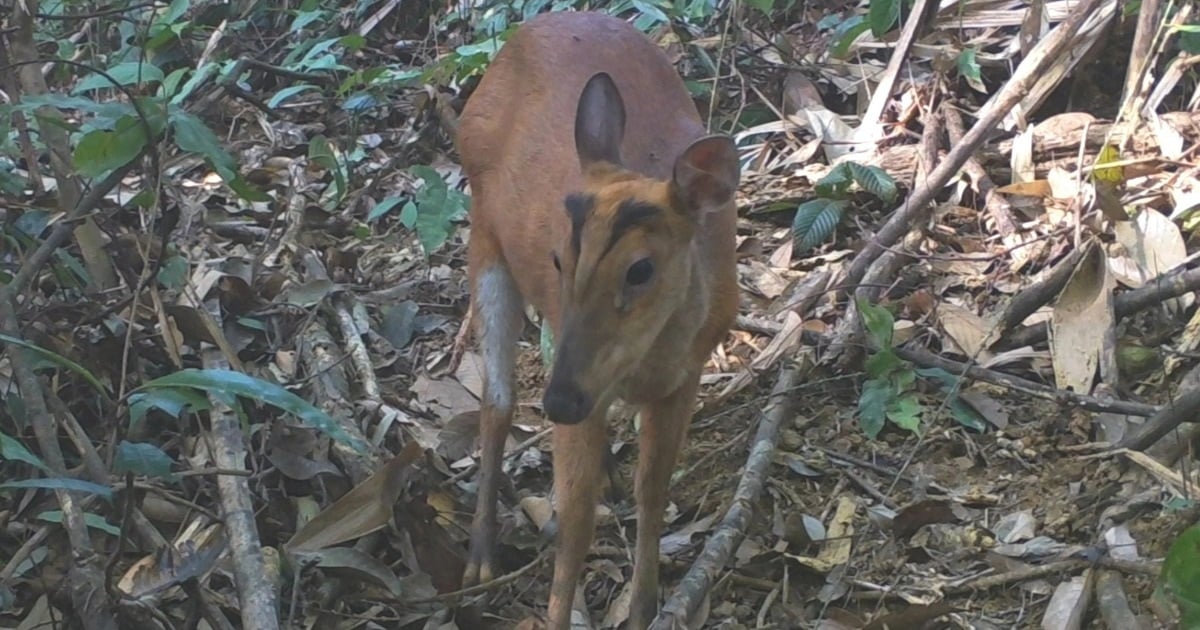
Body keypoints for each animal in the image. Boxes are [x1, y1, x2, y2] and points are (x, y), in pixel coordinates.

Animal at [453, 9, 739, 628]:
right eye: (559, 257)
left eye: (641, 269)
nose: (558, 402)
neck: (644, 361)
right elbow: (575, 524)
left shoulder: (688, 371)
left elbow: (653, 490)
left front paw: (647, 604)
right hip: (484, 233)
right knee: (497, 399)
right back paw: (480, 556)